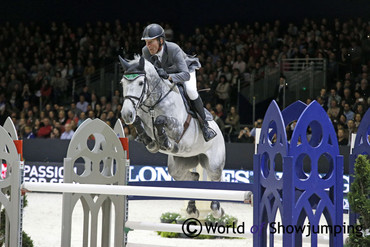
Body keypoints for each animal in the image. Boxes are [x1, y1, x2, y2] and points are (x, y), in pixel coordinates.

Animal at [118, 56, 225, 218]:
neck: (153, 104)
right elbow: (139, 123)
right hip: (179, 165)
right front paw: (150, 142)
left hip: (213, 163)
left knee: (216, 180)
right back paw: (192, 209)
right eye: (122, 83)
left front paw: (164, 142)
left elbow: (160, 120)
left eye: (141, 83)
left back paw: (217, 210)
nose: (126, 114)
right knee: (193, 177)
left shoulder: (177, 128)